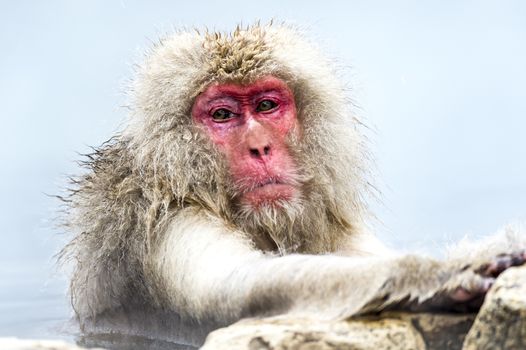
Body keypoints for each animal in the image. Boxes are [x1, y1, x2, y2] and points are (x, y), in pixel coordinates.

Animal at [60, 23, 524, 344]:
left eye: (267, 106)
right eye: (222, 115)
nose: (260, 147)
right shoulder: (167, 220)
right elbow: (243, 290)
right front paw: (437, 275)